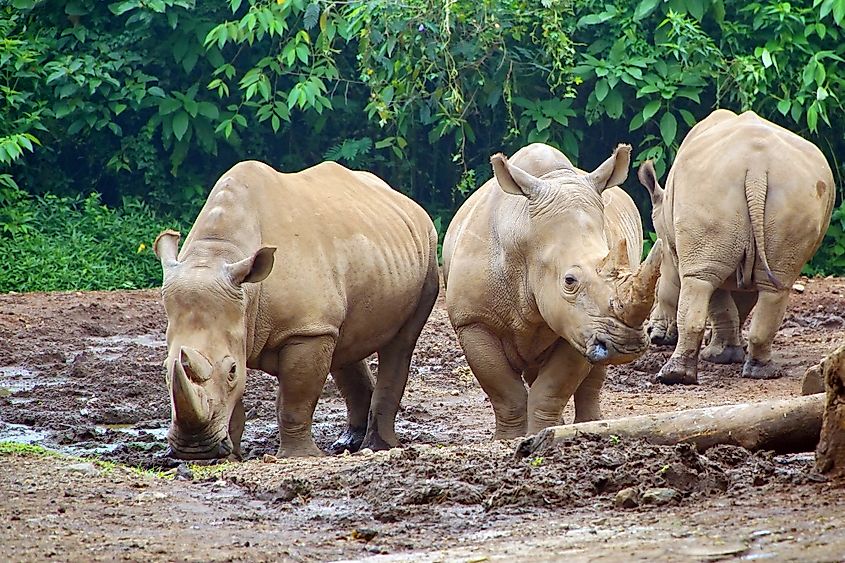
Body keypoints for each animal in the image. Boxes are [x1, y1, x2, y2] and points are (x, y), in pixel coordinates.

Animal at [153, 160, 439, 459]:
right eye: (164, 370)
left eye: (231, 370)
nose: (193, 449)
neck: (218, 253)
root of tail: (403, 200)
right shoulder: (250, 320)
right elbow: (235, 402)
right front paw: (231, 456)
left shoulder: (305, 329)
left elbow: (294, 400)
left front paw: (298, 456)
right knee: (344, 341)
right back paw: (347, 444)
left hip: (427, 252)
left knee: (400, 344)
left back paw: (377, 447)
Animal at [442, 143, 663, 439]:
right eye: (569, 280)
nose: (627, 346)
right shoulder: (473, 321)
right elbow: (505, 392)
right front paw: (509, 439)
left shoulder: (578, 325)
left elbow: (551, 389)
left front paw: (541, 434)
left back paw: (588, 424)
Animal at [638, 109, 835, 384]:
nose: (653, 336)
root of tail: (756, 168)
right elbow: (741, 301)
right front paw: (731, 351)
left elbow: (718, 299)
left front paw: (720, 354)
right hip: (794, 191)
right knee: (775, 285)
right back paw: (761, 372)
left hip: (710, 187)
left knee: (702, 280)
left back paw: (675, 375)